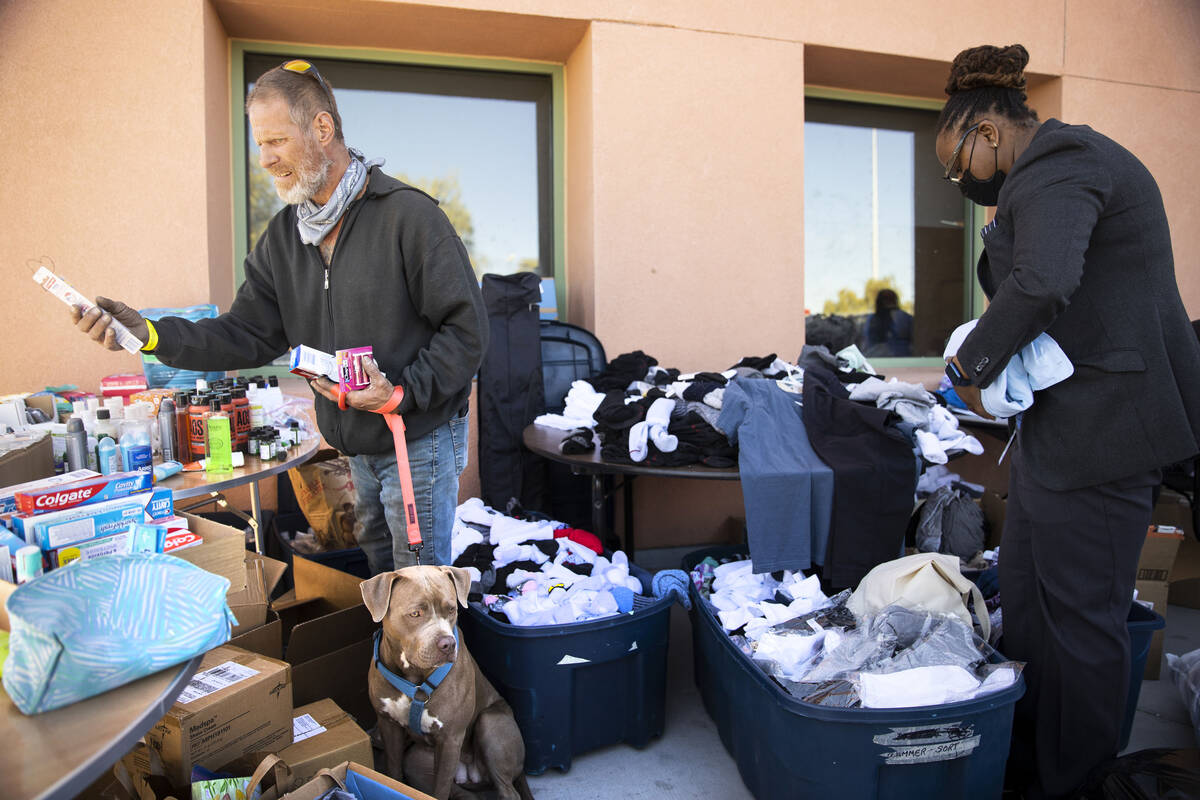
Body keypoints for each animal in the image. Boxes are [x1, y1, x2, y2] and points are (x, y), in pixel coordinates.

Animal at [357, 566, 532, 800]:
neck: (414, 677)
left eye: (451, 609)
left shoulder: (450, 739)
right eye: (415, 613)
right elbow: (393, 771)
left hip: (491, 724)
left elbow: (439, 791)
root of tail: (469, 773)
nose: (447, 644)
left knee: (507, 790)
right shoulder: (389, 725)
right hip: (417, 762)